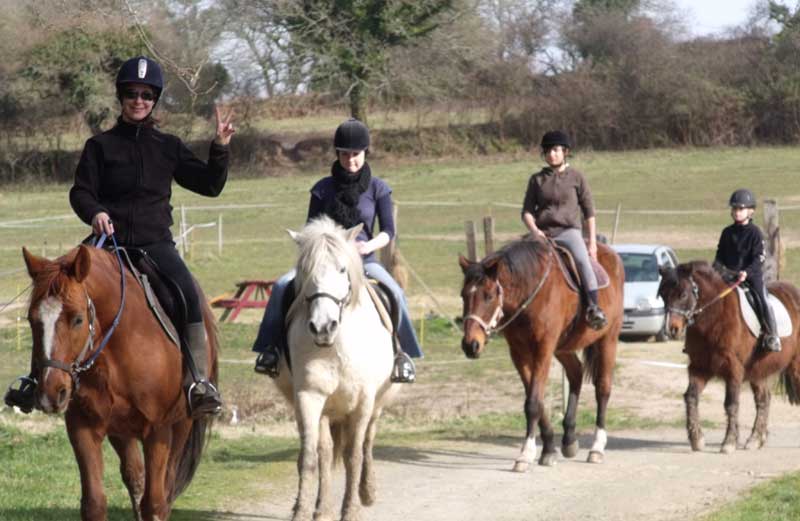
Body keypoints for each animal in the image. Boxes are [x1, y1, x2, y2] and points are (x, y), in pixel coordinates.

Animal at [21, 245, 216, 520]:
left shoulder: (158, 431)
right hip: (120, 430)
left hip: (181, 425)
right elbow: (94, 503)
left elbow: (155, 503)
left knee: (163, 489)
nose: (51, 393)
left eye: (78, 319)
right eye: (31, 320)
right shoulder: (84, 427)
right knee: (135, 478)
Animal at [272, 216, 400, 520]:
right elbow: (312, 457)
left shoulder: (364, 402)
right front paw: (304, 511)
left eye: (342, 269)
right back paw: (321, 507)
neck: (336, 346)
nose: (322, 327)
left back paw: (367, 491)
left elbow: (354, 455)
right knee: (326, 450)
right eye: (306, 270)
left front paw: (351, 510)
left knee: (367, 442)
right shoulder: (309, 397)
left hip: (377, 403)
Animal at [456, 238, 624, 474]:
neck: (530, 293)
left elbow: (533, 403)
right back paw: (569, 439)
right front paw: (548, 449)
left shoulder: (543, 348)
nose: (471, 345)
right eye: (463, 295)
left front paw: (525, 455)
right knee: (576, 374)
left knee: (603, 388)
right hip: (563, 347)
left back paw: (597, 447)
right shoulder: (519, 353)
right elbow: (537, 400)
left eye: (489, 296)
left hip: (608, 339)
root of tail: (613, 255)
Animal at [656, 262, 800, 452]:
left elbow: (731, 404)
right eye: (663, 295)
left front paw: (729, 442)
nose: (671, 330)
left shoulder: (733, 369)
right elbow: (691, 397)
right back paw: (755, 439)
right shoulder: (699, 367)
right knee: (763, 400)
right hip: (758, 371)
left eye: (683, 294)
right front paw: (697, 439)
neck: (713, 317)